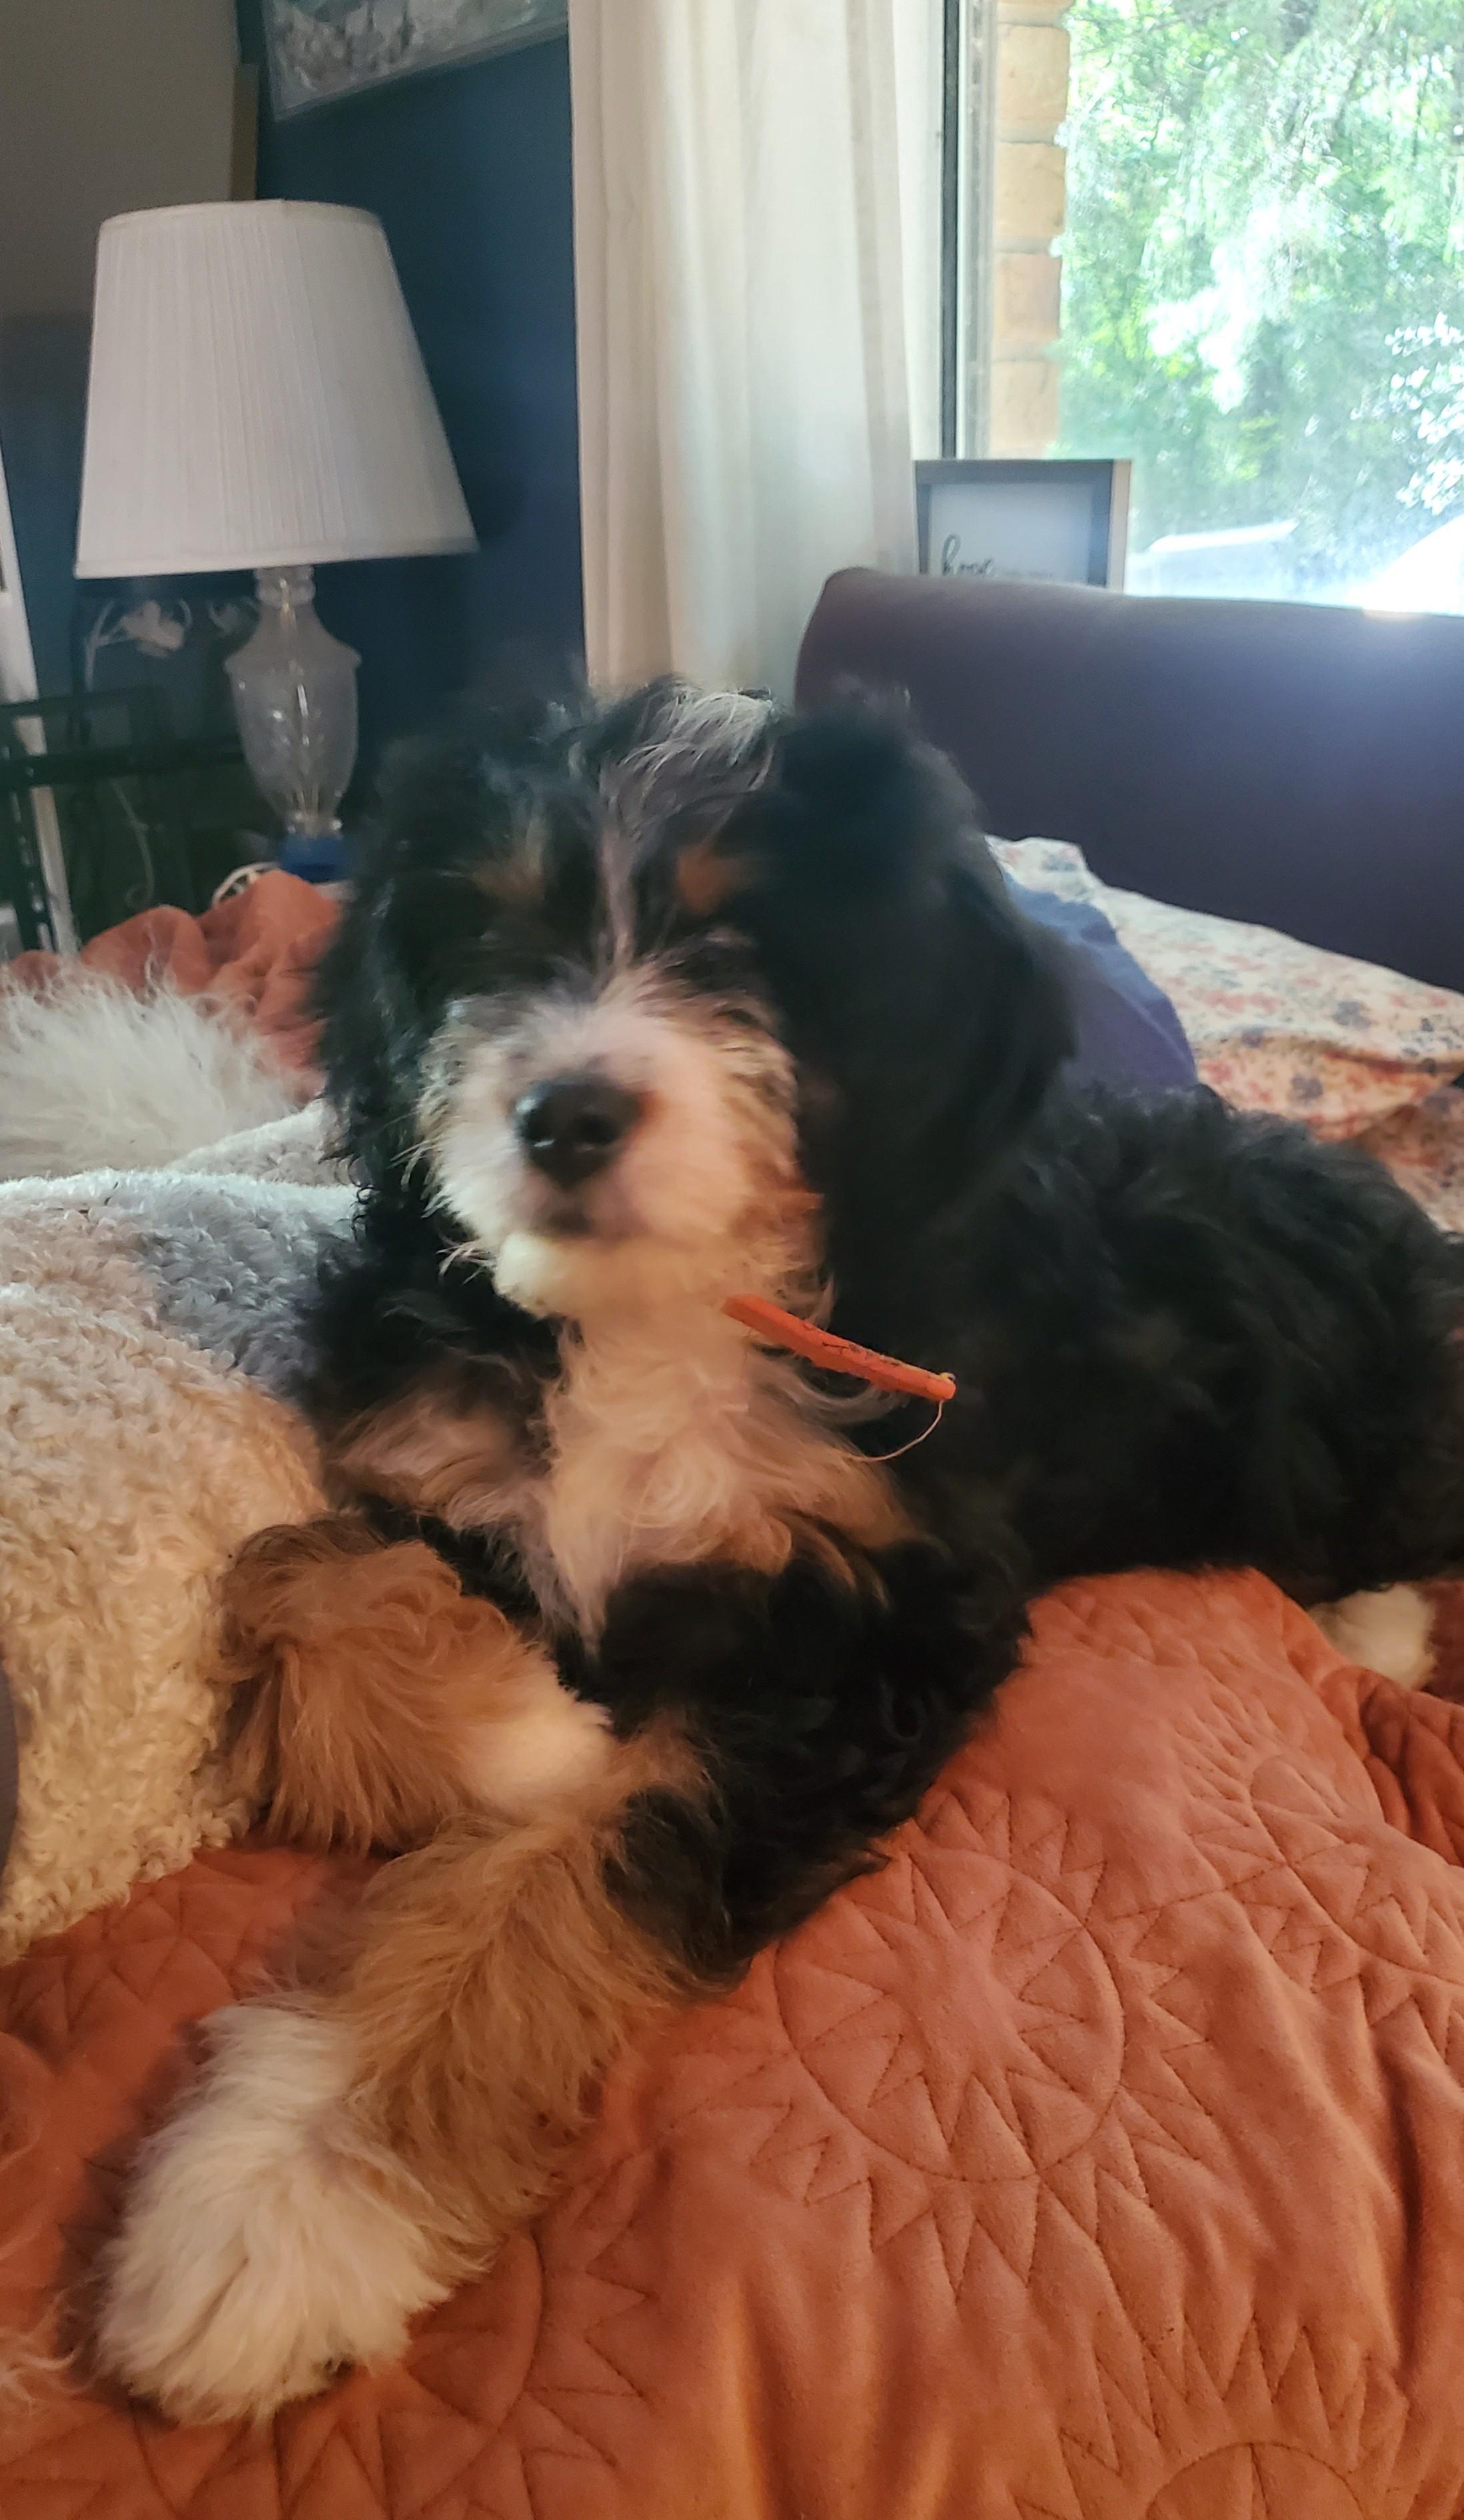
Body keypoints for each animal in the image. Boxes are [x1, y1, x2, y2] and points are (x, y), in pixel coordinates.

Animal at [98, 679, 1464, 2422]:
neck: (666, 1314)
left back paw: (1364, 1632)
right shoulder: (431, 1453)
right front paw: (518, 1729)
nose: (561, 1114)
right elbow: (292, 1568)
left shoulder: (862, 1634)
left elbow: (582, 1865)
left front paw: (292, 2199)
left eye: (737, 946)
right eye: (494, 938)